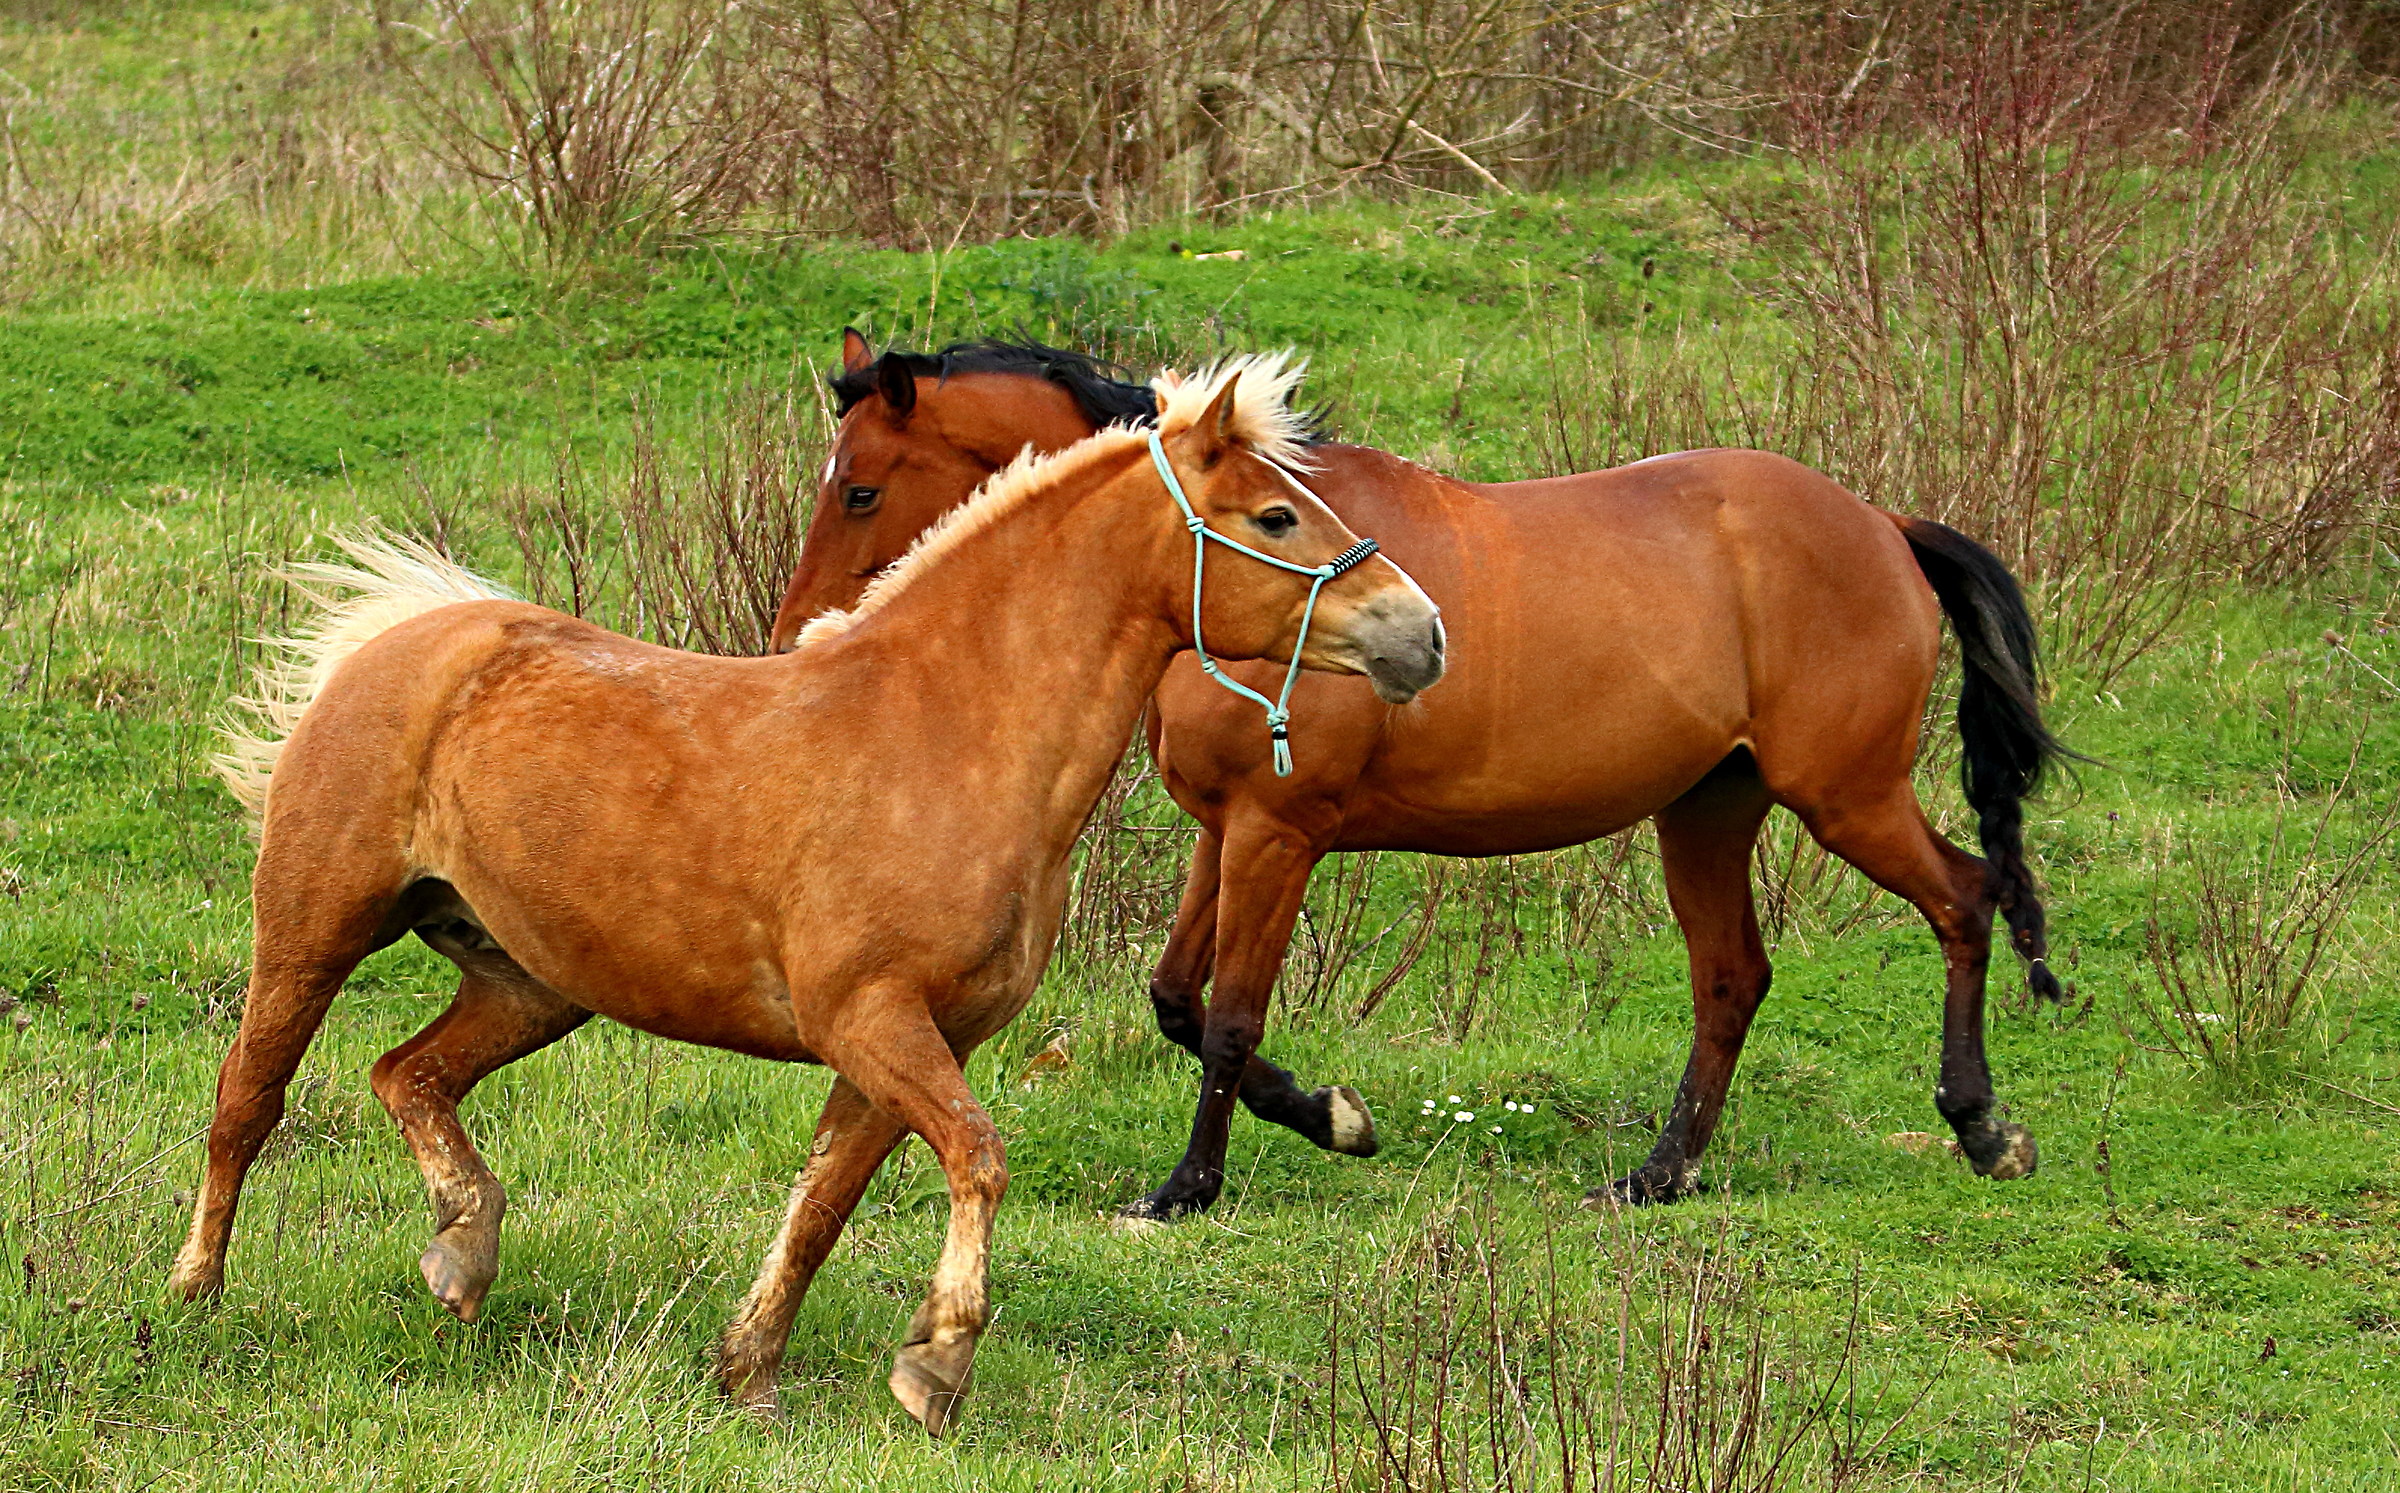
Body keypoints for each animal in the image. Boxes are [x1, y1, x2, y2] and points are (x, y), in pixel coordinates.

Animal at [166, 358, 1443, 1433]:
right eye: (1277, 518)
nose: (1423, 635)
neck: (946, 735)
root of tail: (402, 640)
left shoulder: (922, 1042)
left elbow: (823, 1205)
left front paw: (749, 1372)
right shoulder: (869, 1018)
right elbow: (979, 1157)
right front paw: (936, 1364)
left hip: (532, 982)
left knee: (408, 1074)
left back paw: (462, 1251)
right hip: (315, 929)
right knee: (248, 1102)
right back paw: (197, 1292)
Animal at [768, 332, 2073, 1227]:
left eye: (863, 486)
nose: (794, 639)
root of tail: (1883, 524)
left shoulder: (1278, 833)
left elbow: (1230, 1017)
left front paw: (1190, 1184)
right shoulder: (1223, 831)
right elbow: (1178, 999)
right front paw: (1333, 1117)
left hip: (1845, 795)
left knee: (1963, 898)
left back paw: (1982, 1125)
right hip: (1708, 807)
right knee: (1732, 978)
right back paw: (1660, 1170)